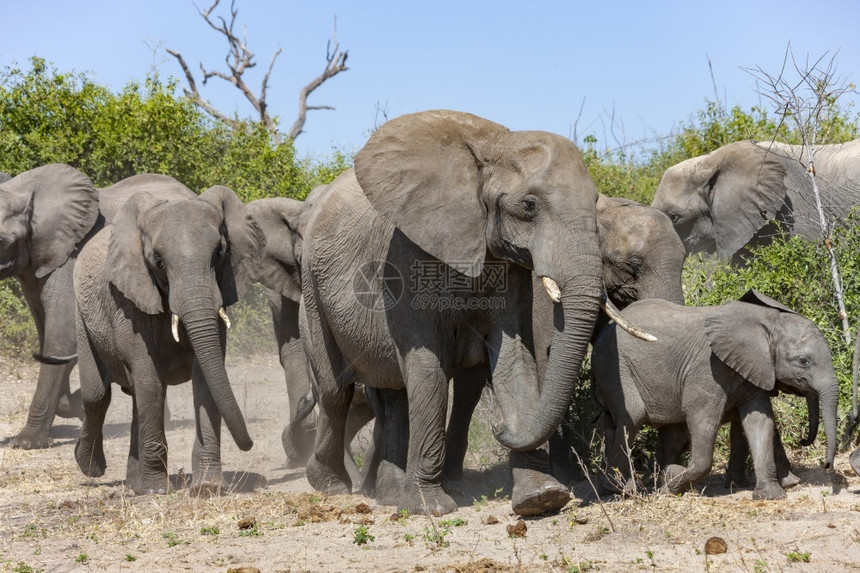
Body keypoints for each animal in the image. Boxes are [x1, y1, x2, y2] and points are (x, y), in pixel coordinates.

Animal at [73, 185, 262, 494]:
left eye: (219, 253)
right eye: (158, 261)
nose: (249, 444)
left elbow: (204, 377)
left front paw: (207, 487)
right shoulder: (128, 300)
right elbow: (149, 377)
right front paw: (157, 492)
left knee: (134, 397)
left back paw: (133, 483)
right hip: (81, 315)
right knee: (97, 394)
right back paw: (91, 467)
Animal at [298, 108, 648, 512]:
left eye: (594, 204)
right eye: (529, 206)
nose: (499, 427)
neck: (492, 147)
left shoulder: (506, 265)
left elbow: (513, 355)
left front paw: (542, 497)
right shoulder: (404, 256)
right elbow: (429, 366)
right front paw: (433, 507)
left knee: (394, 393)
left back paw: (390, 496)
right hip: (311, 288)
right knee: (335, 390)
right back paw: (332, 486)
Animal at [588, 288, 836, 498]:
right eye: (803, 361)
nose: (826, 466)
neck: (766, 321)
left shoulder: (753, 370)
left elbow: (759, 421)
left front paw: (771, 495)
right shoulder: (707, 370)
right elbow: (702, 420)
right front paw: (671, 479)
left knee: (624, 424)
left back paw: (611, 486)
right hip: (612, 365)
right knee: (633, 416)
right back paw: (623, 489)